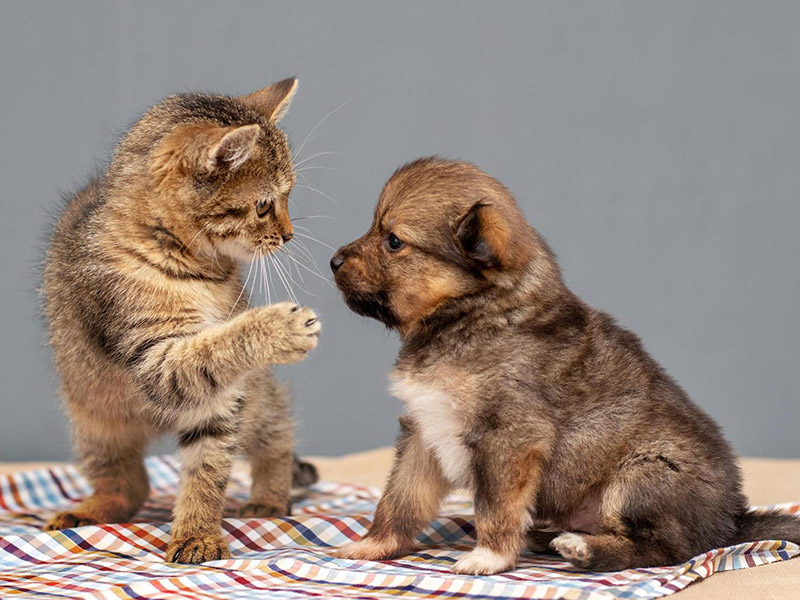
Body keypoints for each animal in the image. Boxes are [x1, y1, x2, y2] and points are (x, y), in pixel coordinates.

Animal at [41, 76, 322, 564]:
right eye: (265, 205)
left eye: (289, 197)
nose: (288, 235)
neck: (198, 270)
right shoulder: (154, 356)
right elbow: (211, 348)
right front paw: (275, 328)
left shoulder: (221, 400)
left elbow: (207, 467)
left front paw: (197, 532)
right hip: (90, 417)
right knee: (129, 485)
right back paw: (90, 509)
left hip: (255, 398)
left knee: (278, 432)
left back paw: (269, 496)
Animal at [330, 157, 800, 576]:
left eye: (393, 241)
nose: (333, 261)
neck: (472, 313)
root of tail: (731, 520)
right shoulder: (424, 430)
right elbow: (399, 499)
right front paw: (373, 545)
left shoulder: (511, 436)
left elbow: (494, 507)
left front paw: (489, 557)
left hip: (644, 474)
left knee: (665, 548)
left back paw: (583, 549)